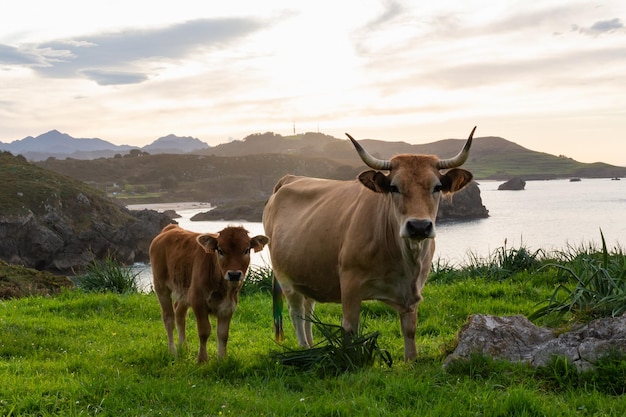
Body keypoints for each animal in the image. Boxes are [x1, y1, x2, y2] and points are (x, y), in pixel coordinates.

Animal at [152, 223, 270, 362]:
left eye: (246, 250)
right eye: (220, 250)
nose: (234, 274)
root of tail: (171, 228)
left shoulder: (229, 305)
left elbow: (223, 333)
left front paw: (222, 359)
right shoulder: (198, 301)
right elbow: (204, 331)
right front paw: (202, 360)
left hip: (184, 291)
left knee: (180, 313)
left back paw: (183, 347)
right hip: (161, 286)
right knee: (168, 318)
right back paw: (172, 351)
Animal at [262, 127, 472, 360]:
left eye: (437, 187)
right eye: (394, 187)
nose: (419, 226)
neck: (406, 261)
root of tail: (290, 178)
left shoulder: (414, 290)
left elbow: (409, 330)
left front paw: (411, 361)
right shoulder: (350, 283)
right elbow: (349, 329)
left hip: (308, 273)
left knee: (308, 309)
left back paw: (311, 346)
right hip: (285, 276)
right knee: (297, 313)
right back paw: (304, 348)